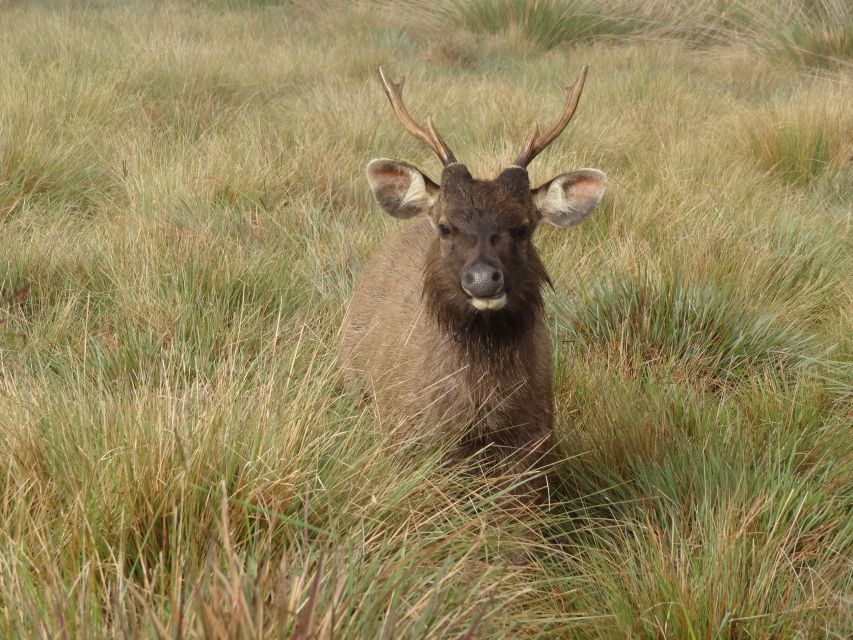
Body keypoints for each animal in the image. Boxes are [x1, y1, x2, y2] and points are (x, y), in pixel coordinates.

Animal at [336, 63, 608, 504]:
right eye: (447, 226)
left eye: (522, 227)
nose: (482, 279)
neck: (480, 417)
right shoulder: (410, 435)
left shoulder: (534, 442)